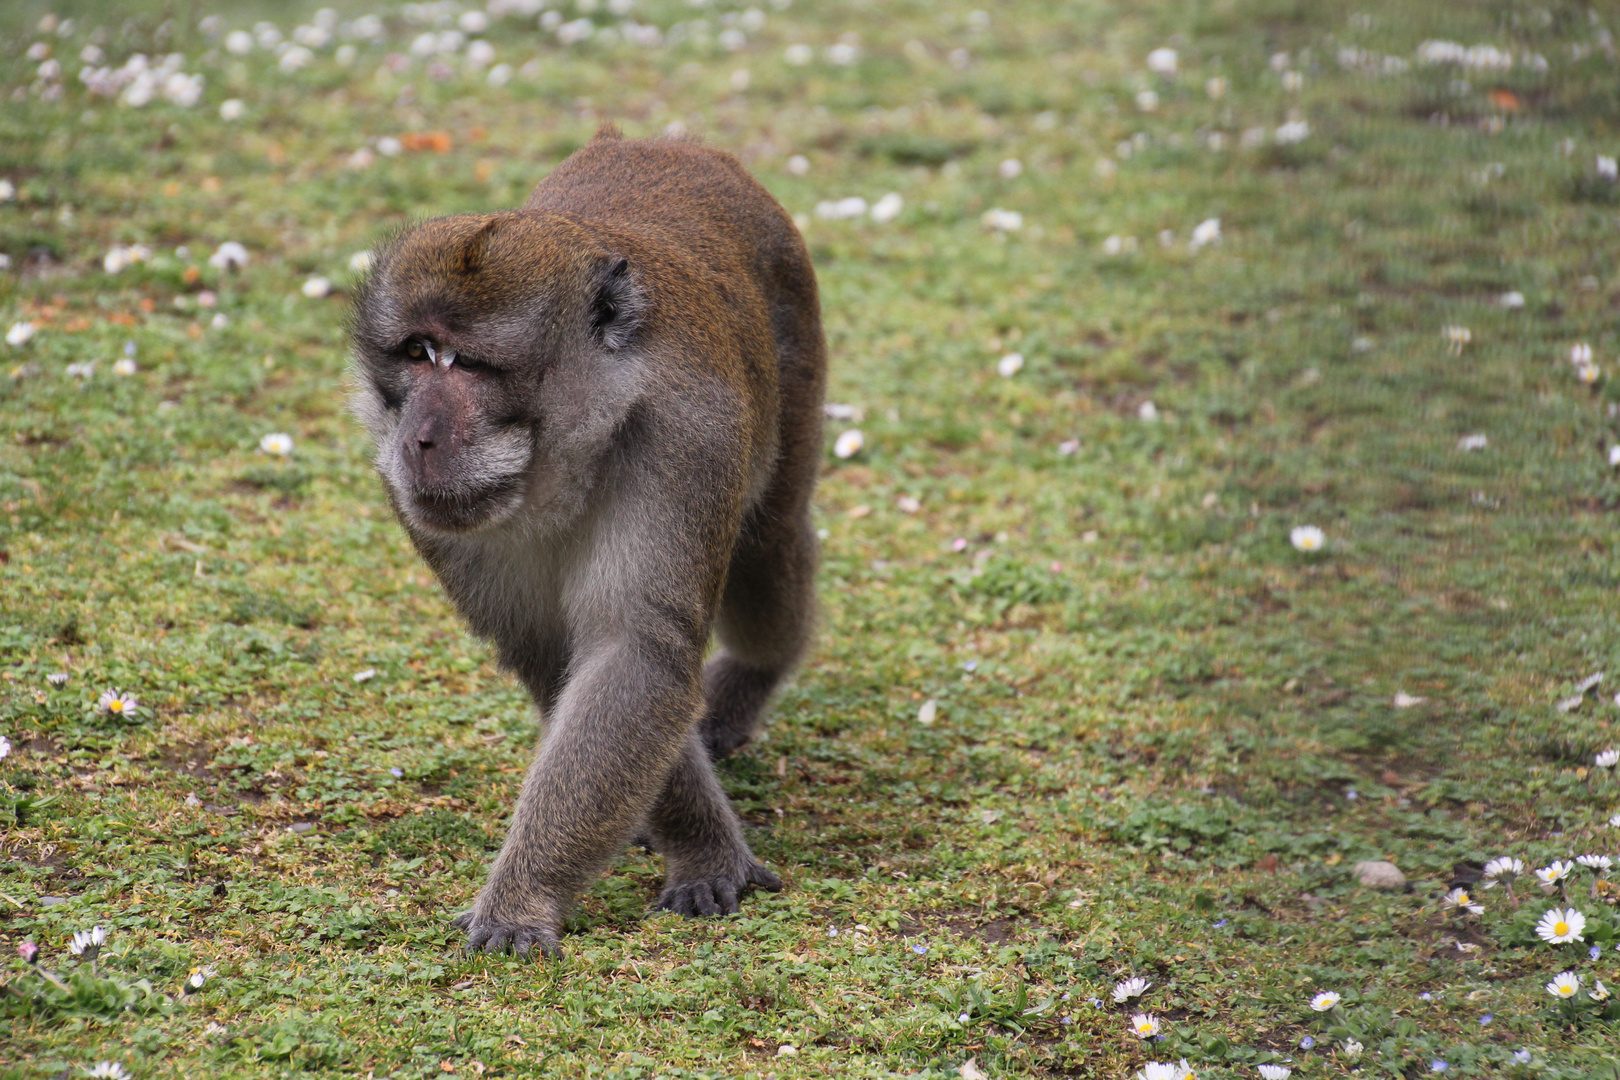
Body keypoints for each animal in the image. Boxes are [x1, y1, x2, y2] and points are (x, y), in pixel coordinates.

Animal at [343, 127, 822, 952]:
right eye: (416, 354)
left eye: (469, 364)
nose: (420, 440)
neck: (569, 459)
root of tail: (662, 145)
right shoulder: (421, 504)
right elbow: (560, 658)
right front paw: (696, 844)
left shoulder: (684, 439)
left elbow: (634, 655)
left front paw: (521, 900)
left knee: (769, 544)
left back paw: (749, 678)